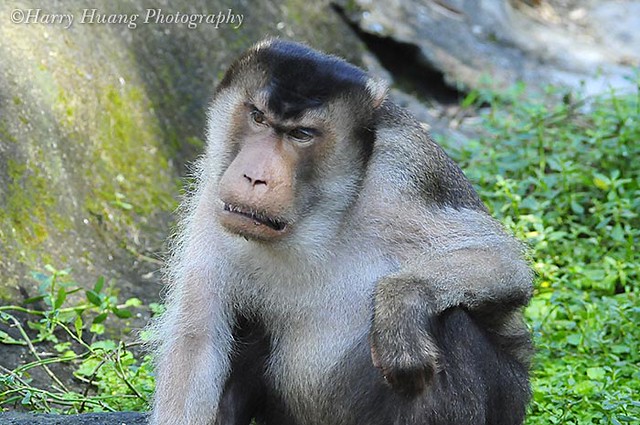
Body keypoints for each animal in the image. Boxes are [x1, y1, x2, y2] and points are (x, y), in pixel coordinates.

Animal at [148, 39, 532, 424]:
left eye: (301, 134)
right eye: (258, 117)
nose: (255, 177)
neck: (312, 219)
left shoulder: (402, 174)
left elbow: (504, 263)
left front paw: (401, 301)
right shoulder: (213, 199)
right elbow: (198, 341)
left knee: (451, 323)